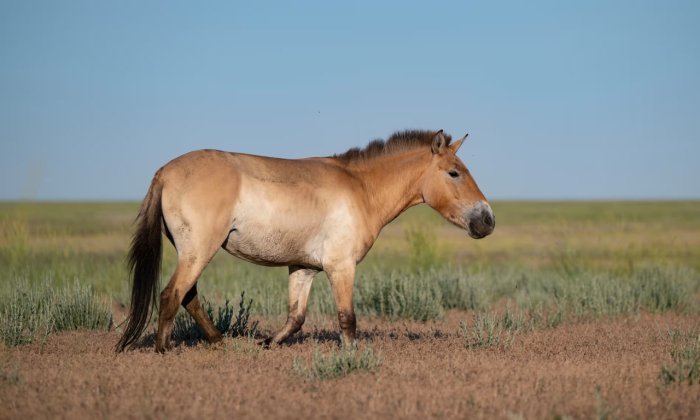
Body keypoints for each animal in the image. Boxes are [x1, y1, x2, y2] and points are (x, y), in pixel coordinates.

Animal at [116, 128, 492, 352]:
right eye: (454, 173)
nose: (487, 220)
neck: (361, 189)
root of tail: (164, 172)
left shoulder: (303, 268)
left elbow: (295, 318)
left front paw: (266, 344)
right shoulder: (341, 267)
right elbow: (347, 319)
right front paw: (352, 357)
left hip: (192, 252)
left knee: (188, 296)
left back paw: (220, 341)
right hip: (199, 251)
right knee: (172, 295)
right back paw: (164, 349)